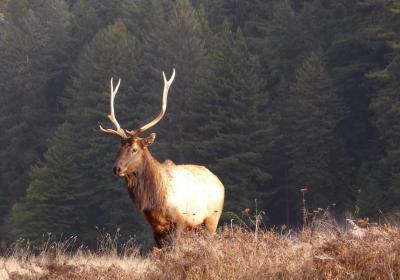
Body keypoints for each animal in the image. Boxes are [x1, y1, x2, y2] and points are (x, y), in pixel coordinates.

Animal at [99, 70, 225, 247]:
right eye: (120, 148)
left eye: (134, 149)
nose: (116, 168)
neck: (154, 201)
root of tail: (219, 182)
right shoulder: (156, 228)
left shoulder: (180, 221)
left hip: (212, 219)